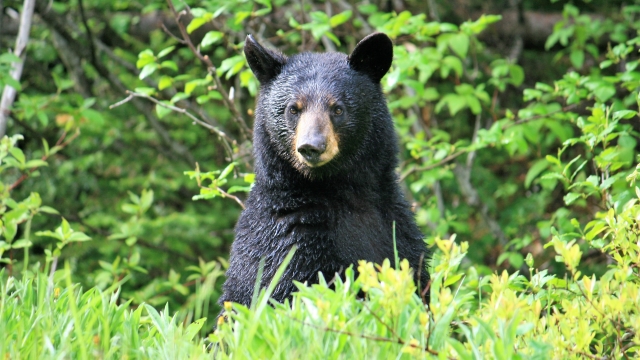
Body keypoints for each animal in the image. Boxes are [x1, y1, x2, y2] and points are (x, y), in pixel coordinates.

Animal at [220, 33, 430, 306]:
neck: (339, 190)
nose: (312, 146)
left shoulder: (397, 231)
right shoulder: (288, 245)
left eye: (338, 108)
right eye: (293, 109)